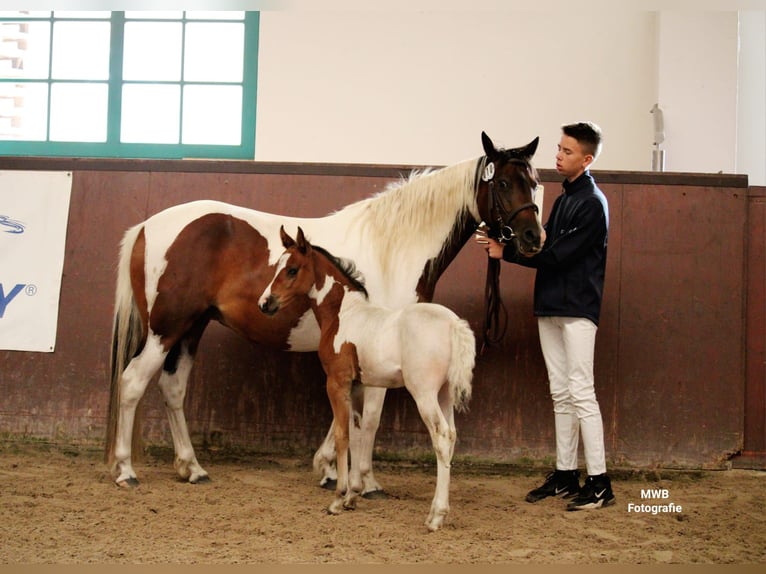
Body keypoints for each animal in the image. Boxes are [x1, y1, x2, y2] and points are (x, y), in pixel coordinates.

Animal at [105, 132, 544, 496]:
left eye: (535, 182)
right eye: (503, 183)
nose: (532, 238)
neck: (394, 247)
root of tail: (146, 226)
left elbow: (349, 415)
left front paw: (330, 469)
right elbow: (369, 418)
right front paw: (365, 481)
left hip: (190, 329)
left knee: (172, 388)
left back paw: (191, 467)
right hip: (165, 330)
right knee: (132, 383)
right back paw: (126, 471)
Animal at [260, 227, 476, 532]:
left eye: (292, 269)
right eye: (278, 266)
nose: (265, 303)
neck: (343, 313)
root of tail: (453, 324)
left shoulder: (336, 382)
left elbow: (342, 435)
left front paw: (338, 499)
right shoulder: (358, 386)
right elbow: (358, 432)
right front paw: (352, 495)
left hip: (423, 393)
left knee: (441, 437)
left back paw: (436, 517)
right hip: (444, 393)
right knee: (453, 435)